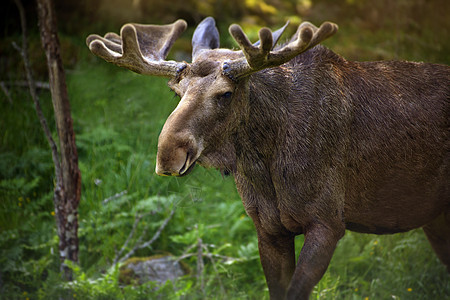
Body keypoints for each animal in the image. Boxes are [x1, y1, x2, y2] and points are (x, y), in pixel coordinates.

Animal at [86, 17, 448, 300]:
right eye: (176, 92)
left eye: (225, 93)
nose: (168, 154)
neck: (266, 164)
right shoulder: (268, 228)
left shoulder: (328, 222)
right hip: (436, 218)